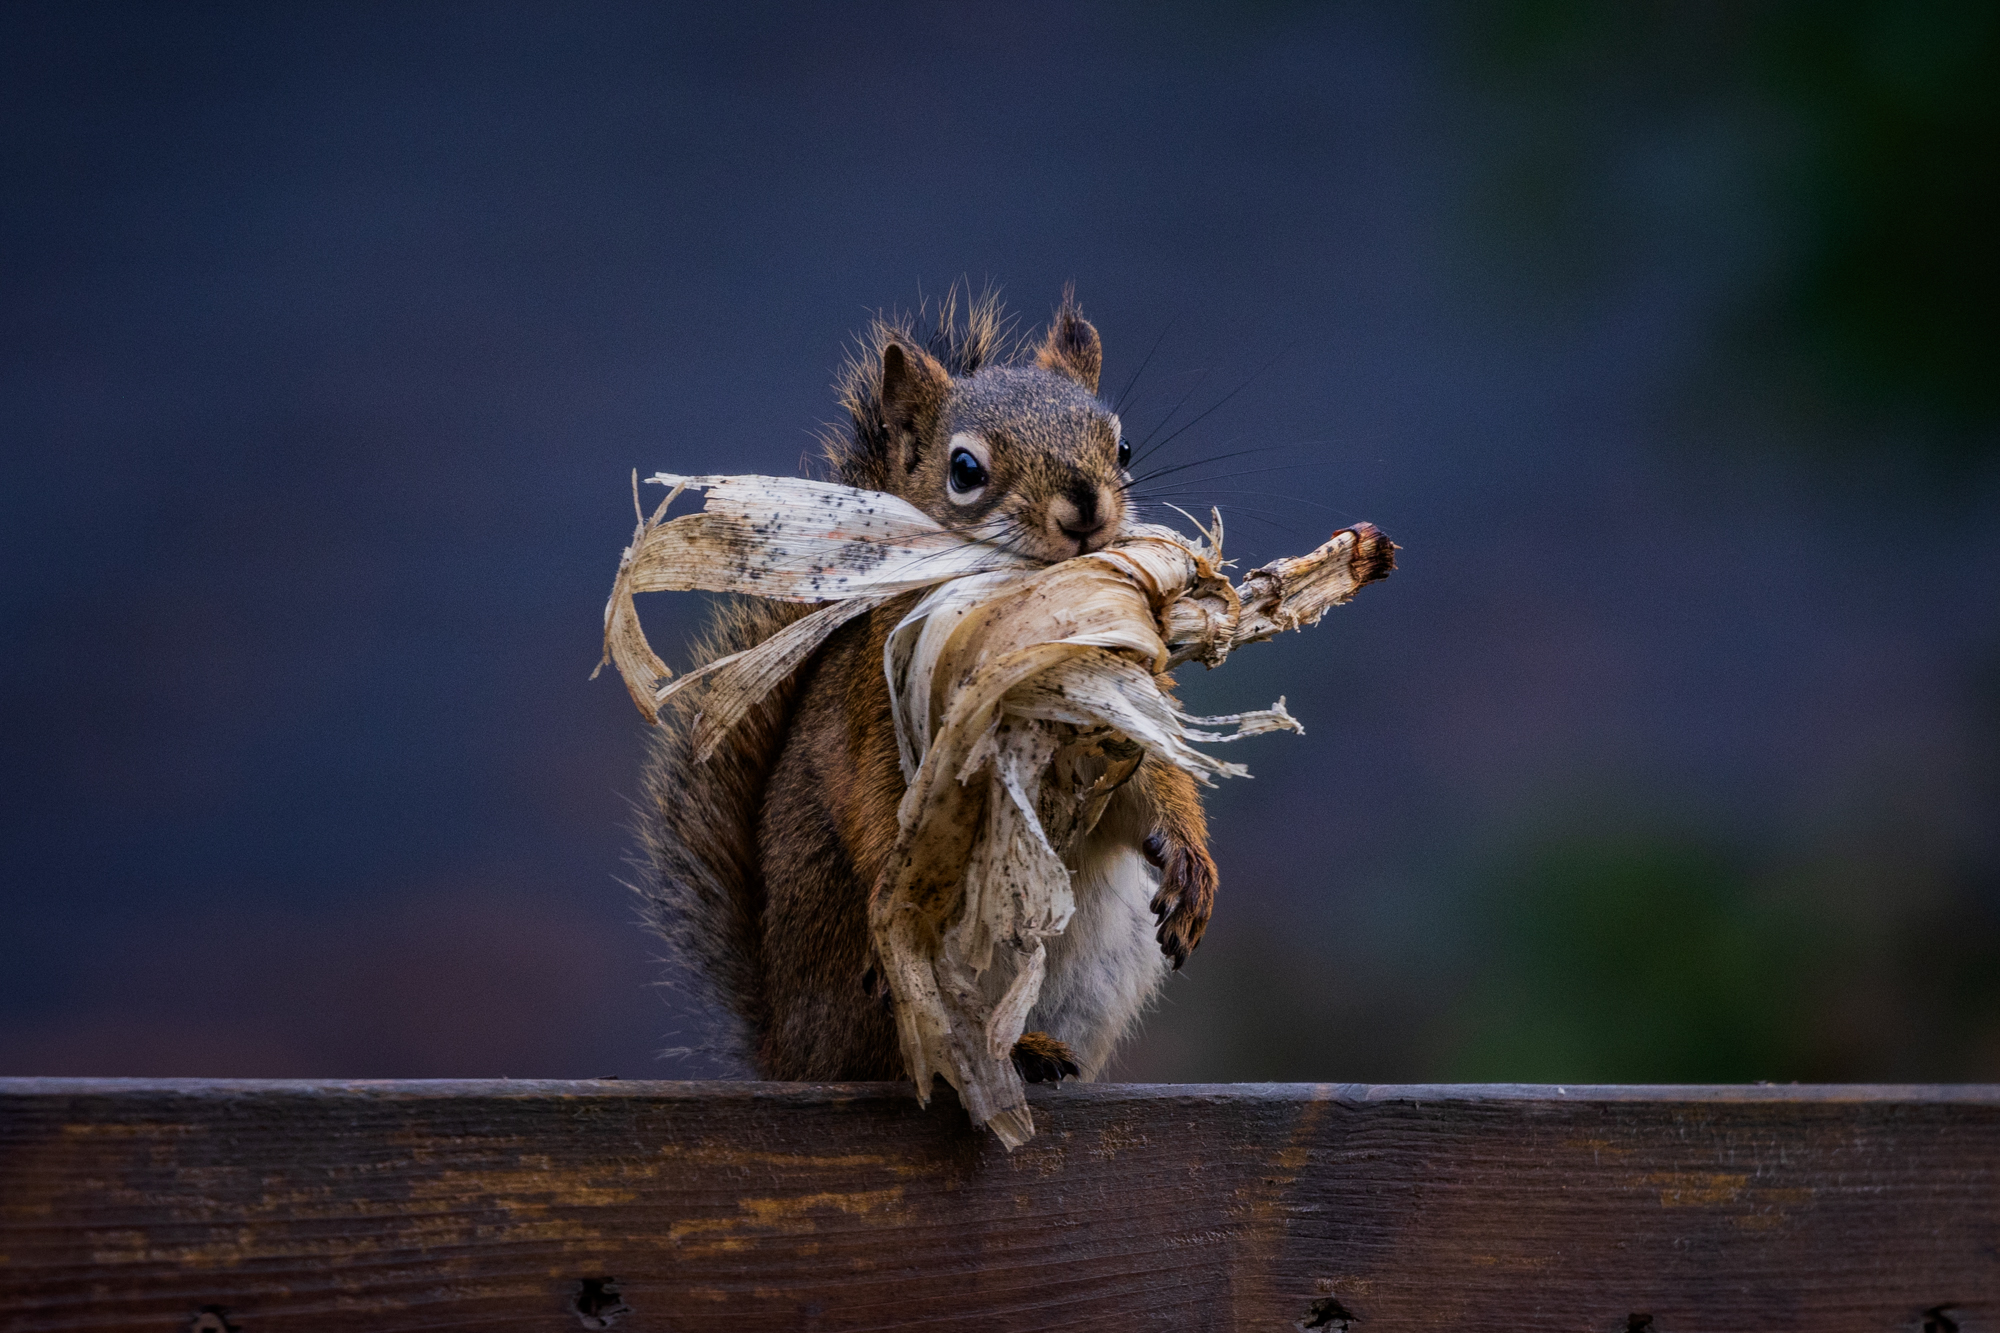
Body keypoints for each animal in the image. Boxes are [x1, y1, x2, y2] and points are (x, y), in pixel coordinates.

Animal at [635, 289, 1217, 1086]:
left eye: (1121, 448)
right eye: (964, 468)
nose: (1085, 506)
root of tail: (789, 1048)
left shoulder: (1122, 711)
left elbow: (1153, 787)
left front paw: (1191, 862)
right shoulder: (880, 720)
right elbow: (879, 801)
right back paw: (1009, 1051)